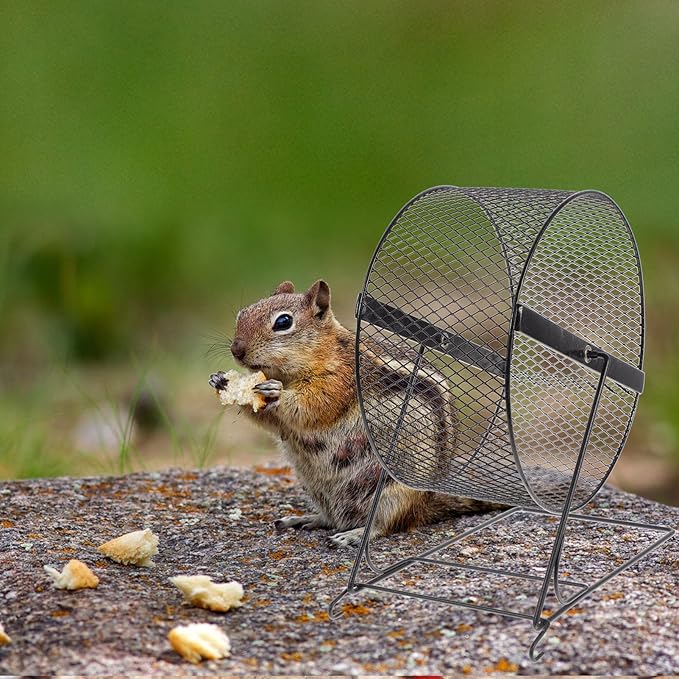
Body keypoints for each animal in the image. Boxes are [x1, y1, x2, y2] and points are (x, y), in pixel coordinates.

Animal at [209, 280, 499, 548]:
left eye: (283, 322)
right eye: (241, 314)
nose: (236, 350)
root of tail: (426, 506)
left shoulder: (341, 381)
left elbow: (314, 407)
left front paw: (276, 392)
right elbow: (272, 421)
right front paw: (220, 380)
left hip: (393, 493)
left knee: (387, 525)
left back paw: (353, 535)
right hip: (315, 488)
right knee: (332, 517)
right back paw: (306, 519)